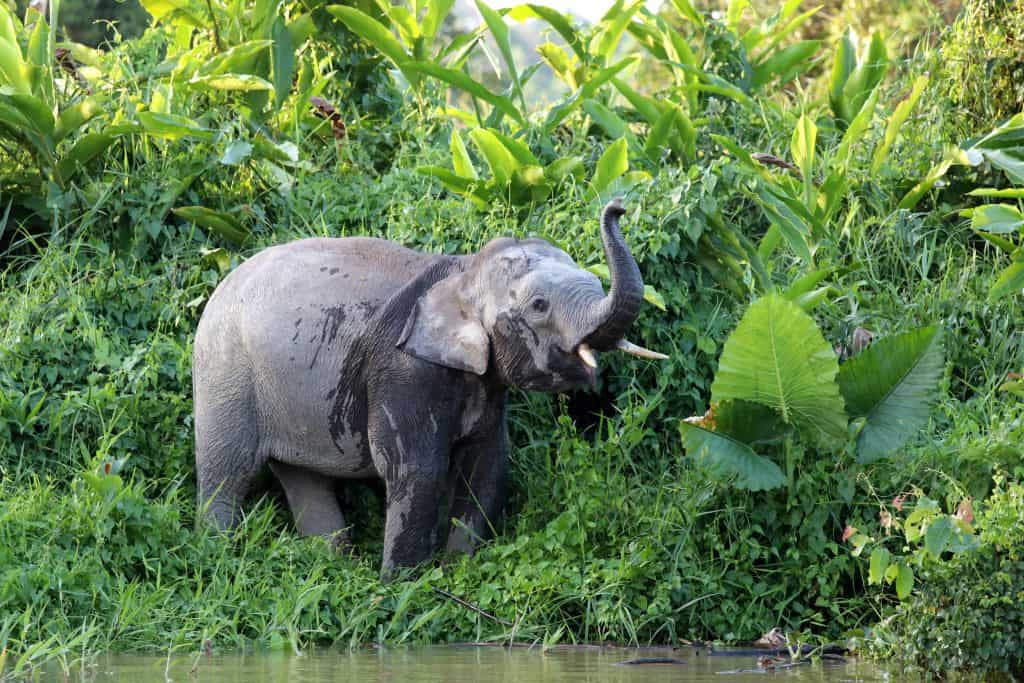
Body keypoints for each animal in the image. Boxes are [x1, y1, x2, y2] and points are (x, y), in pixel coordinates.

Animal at [192, 199, 667, 575]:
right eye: (538, 305)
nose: (619, 205)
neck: (464, 271)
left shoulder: (484, 384)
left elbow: (488, 463)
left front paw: (458, 569)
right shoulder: (404, 370)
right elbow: (418, 470)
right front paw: (401, 588)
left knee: (304, 477)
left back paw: (334, 565)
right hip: (225, 373)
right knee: (228, 469)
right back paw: (220, 555)